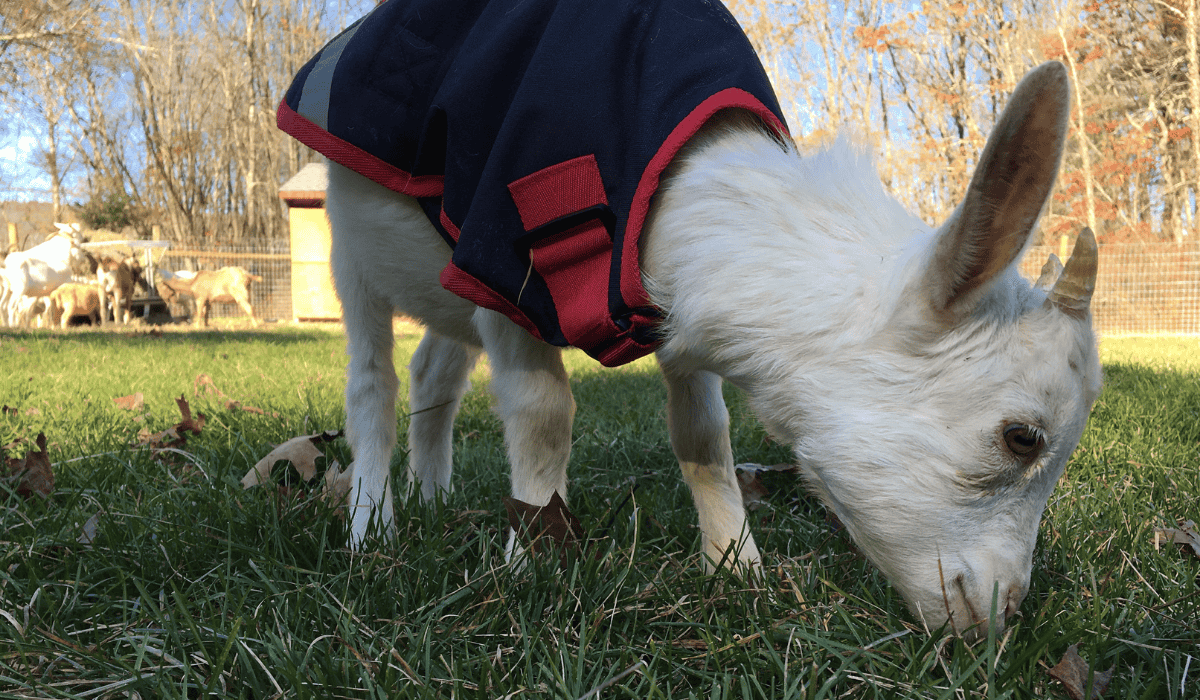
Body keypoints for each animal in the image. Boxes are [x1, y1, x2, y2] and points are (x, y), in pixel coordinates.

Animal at [299, 12, 1098, 638]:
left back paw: (433, 493)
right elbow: (543, 412)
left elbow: (703, 432)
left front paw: (736, 566)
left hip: (444, 287)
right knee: (372, 380)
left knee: (435, 371)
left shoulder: (674, 312)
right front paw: (534, 563)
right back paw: (374, 524)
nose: (998, 616)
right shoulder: (497, 260)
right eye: (1021, 436)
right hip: (352, 245)